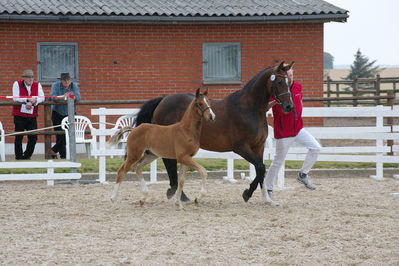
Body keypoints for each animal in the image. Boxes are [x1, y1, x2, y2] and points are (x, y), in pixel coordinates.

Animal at [136, 61, 296, 203]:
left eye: (289, 82)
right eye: (279, 82)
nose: (289, 106)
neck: (249, 109)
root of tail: (163, 100)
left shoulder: (259, 147)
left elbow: (261, 170)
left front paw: (266, 198)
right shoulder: (241, 147)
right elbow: (261, 168)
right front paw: (247, 193)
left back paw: (177, 193)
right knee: (169, 162)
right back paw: (179, 194)